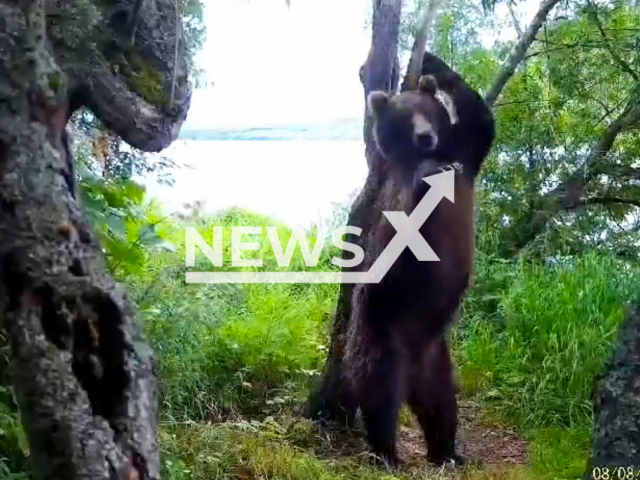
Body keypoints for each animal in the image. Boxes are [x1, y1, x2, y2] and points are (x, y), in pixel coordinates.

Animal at [308, 53, 498, 468]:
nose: (426, 136)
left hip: (438, 357)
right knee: (378, 393)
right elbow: (402, 221)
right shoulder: (395, 195)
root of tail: (412, 365)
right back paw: (387, 452)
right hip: (380, 332)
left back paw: (447, 452)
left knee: (443, 406)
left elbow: (480, 118)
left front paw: (432, 62)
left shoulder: (465, 152)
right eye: (406, 117)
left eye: (426, 111)